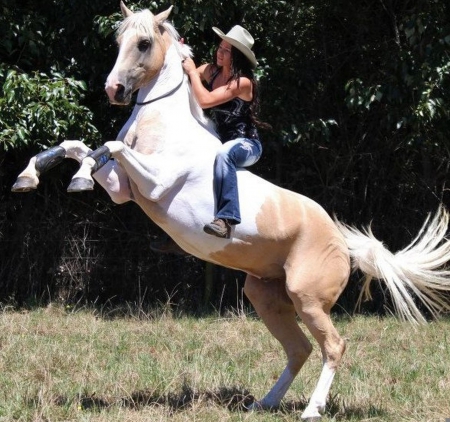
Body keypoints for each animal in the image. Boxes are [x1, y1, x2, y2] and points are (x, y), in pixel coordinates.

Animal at [9, 2, 450, 418]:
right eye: (119, 41)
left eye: (144, 43)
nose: (114, 89)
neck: (163, 124)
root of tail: (342, 242)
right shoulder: (123, 189)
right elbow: (79, 146)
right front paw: (30, 176)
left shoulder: (153, 183)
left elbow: (107, 147)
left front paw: (77, 178)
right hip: (265, 296)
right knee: (299, 349)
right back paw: (264, 404)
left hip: (307, 298)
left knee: (333, 346)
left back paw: (311, 410)